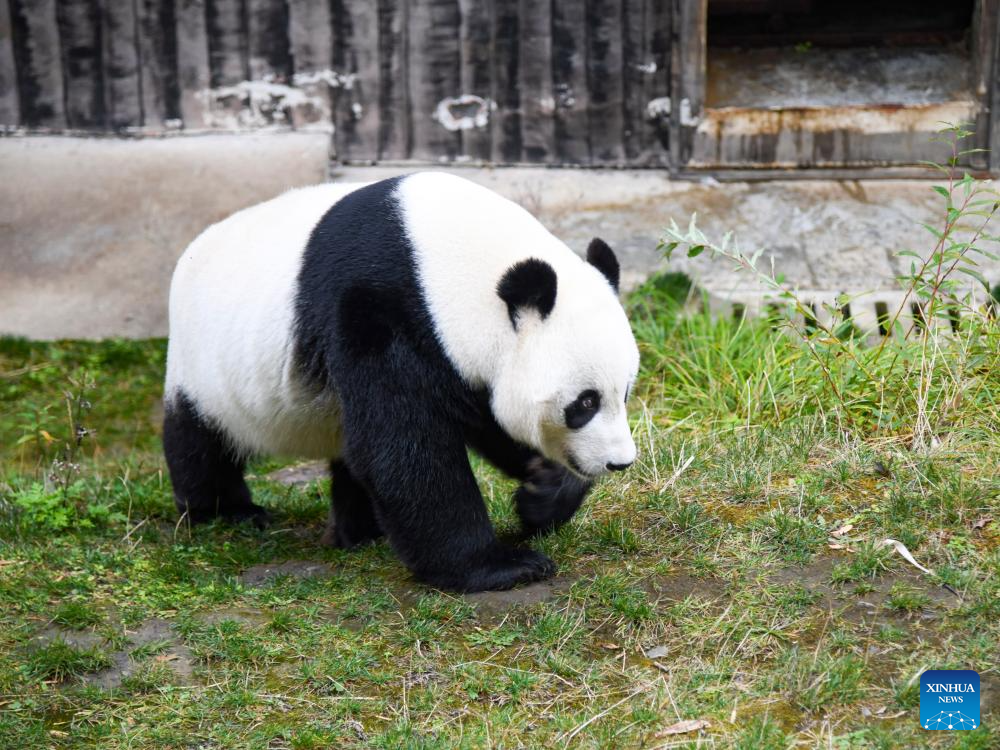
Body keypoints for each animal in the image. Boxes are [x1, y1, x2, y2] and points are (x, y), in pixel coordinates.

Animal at [160, 172, 636, 592]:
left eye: (625, 392)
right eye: (584, 403)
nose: (619, 463)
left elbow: (486, 422)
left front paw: (542, 494)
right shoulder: (378, 309)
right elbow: (404, 445)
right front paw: (500, 566)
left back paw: (359, 531)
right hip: (205, 365)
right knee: (201, 439)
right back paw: (226, 512)